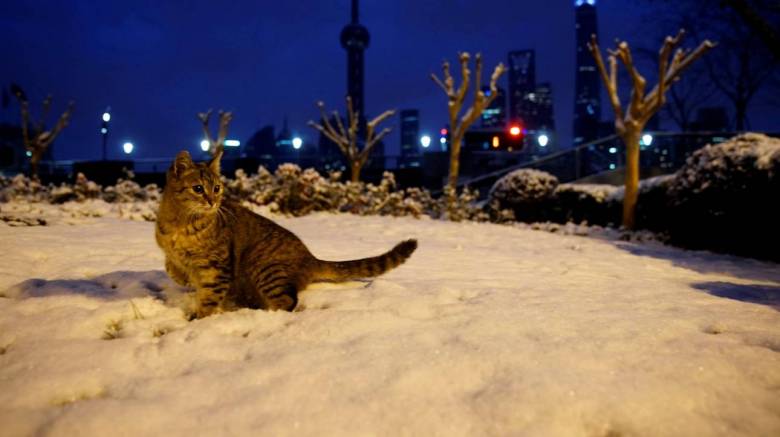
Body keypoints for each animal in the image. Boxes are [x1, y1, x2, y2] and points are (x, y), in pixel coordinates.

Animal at [155, 150, 418, 316]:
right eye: (198, 188)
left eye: (217, 188)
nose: (212, 201)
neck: (180, 224)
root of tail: (310, 258)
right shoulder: (171, 252)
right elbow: (171, 266)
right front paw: (182, 276)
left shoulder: (217, 268)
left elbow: (209, 298)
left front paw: (201, 318)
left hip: (264, 267)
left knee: (287, 300)